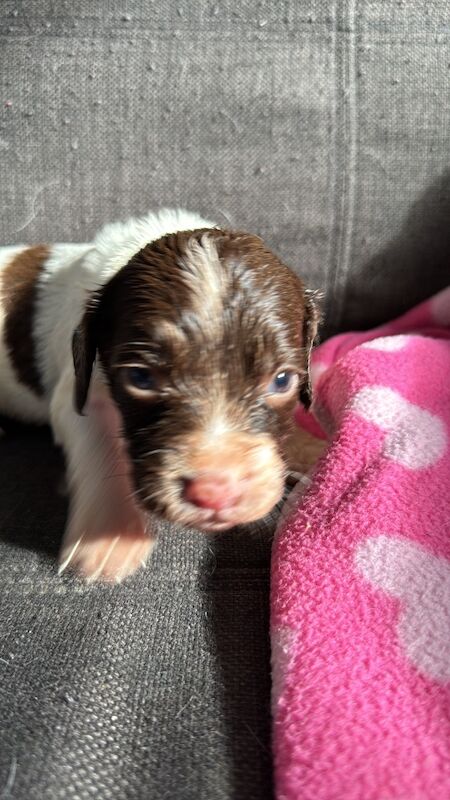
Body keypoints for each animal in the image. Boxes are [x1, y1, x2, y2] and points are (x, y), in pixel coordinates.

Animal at [0, 206, 320, 580]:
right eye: (140, 378)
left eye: (282, 381)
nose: (215, 494)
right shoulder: (78, 393)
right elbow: (98, 447)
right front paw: (110, 536)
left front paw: (311, 445)